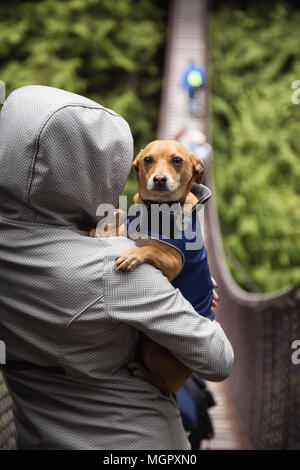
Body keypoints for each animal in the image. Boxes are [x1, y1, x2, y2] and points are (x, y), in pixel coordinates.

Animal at [90, 140, 205, 396]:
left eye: (177, 160)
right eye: (148, 160)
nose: (159, 179)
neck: (156, 212)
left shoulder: (173, 263)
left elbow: (151, 249)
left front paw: (132, 255)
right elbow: (118, 227)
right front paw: (104, 227)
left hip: (154, 350)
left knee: (164, 387)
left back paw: (143, 372)